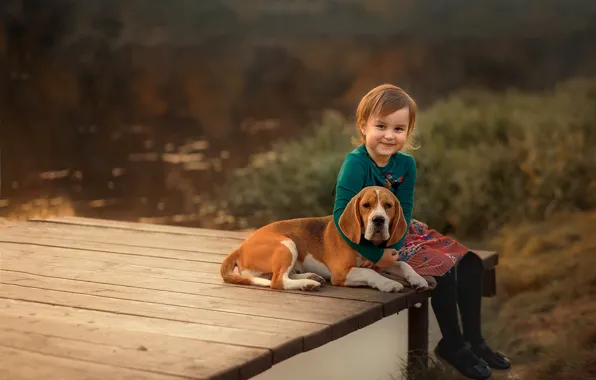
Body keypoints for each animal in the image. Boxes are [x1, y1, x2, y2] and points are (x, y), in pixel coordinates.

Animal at [220, 186, 428, 292]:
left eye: (388, 205)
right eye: (366, 205)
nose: (378, 220)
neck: (368, 244)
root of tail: (241, 247)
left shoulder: (383, 260)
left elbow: (403, 264)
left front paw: (417, 279)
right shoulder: (341, 273)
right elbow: (370, 273)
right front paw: (387, 283)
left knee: (276, 276)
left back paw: (310, 277)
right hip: (287, 245)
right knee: (277, 281)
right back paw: (308, 283)